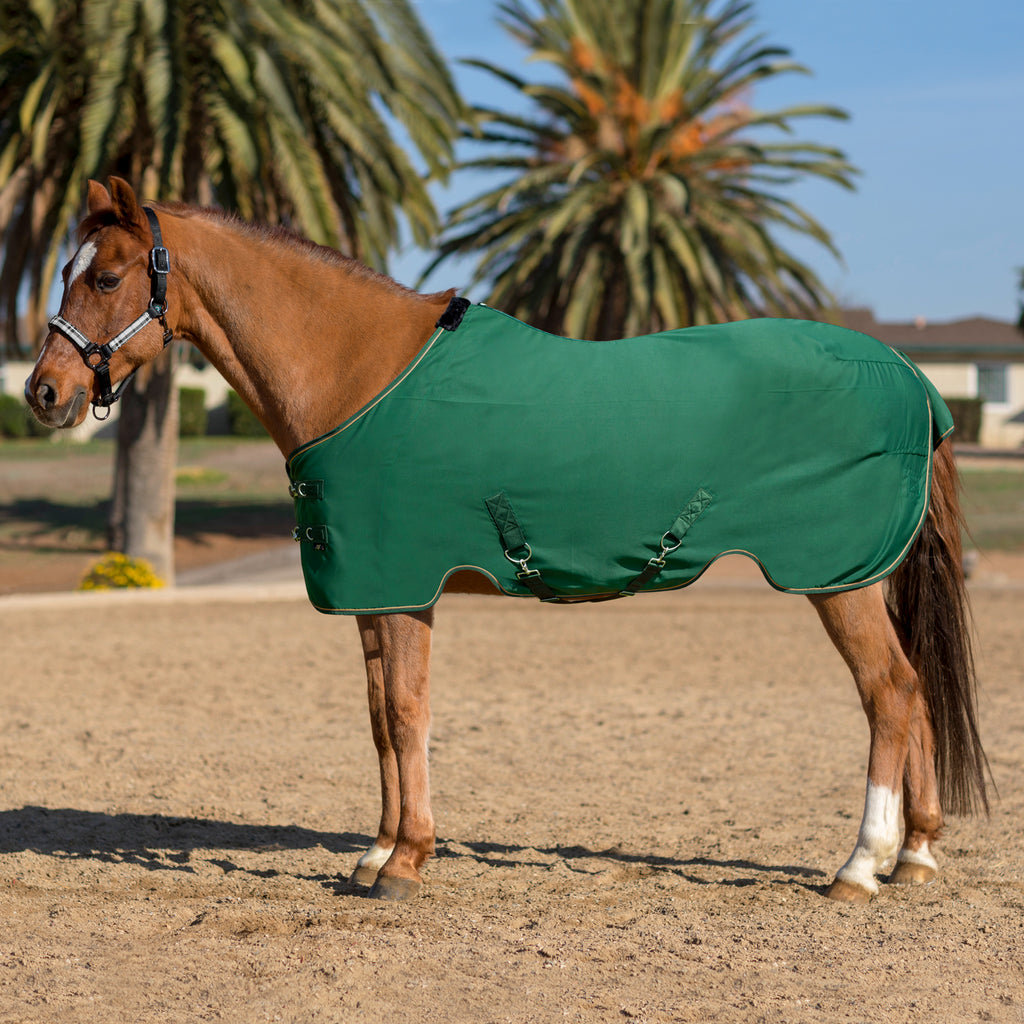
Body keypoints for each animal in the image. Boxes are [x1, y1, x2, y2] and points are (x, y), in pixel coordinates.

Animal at [25, 177, 989, 903]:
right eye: (68, 269)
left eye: (106, 278)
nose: (42, 393)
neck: (360, 372)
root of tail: (912, 379)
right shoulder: (371, 590)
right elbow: (378, 721)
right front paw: (374, 854)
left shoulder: (404, 582)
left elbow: (406, 713)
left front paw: (406, 862)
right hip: (866, 575)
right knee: (915, 691)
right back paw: (914, 855)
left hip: (837, 577)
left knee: (891, 692)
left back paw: (860, 866)